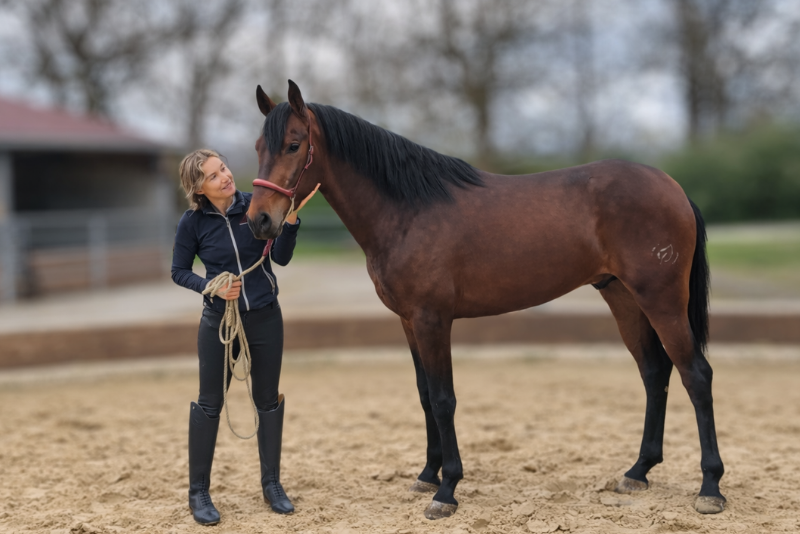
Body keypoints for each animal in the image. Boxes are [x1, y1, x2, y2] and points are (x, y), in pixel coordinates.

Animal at [246, 80, 726, 520]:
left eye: (293, 145)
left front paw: (447, 490)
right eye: (257, 147)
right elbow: (425, 395)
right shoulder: (409, 321)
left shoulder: (433, 319)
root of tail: (673, 188)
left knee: (696, 375)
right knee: (655, 372)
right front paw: (427, 476)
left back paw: (710, 488)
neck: (407, 211)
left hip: (661, 300)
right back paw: (638, 471)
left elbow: (444, 399)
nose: (259, 220)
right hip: (623, 298)